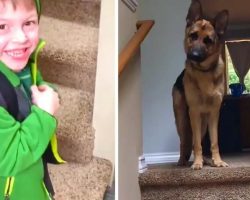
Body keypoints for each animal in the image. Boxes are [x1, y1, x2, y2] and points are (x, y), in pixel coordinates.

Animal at [173, 0, 229, 170]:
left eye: (208, 41)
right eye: (193, 36)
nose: (194, 56)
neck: (204, 72)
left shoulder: (214, 114)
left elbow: (214, 142)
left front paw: (217, 161)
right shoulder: (194, 112)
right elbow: (197, 143)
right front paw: (197, 163)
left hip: (203, 123)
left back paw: (207, 160)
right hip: (183, 120)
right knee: (185, 142)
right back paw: (183, 161)